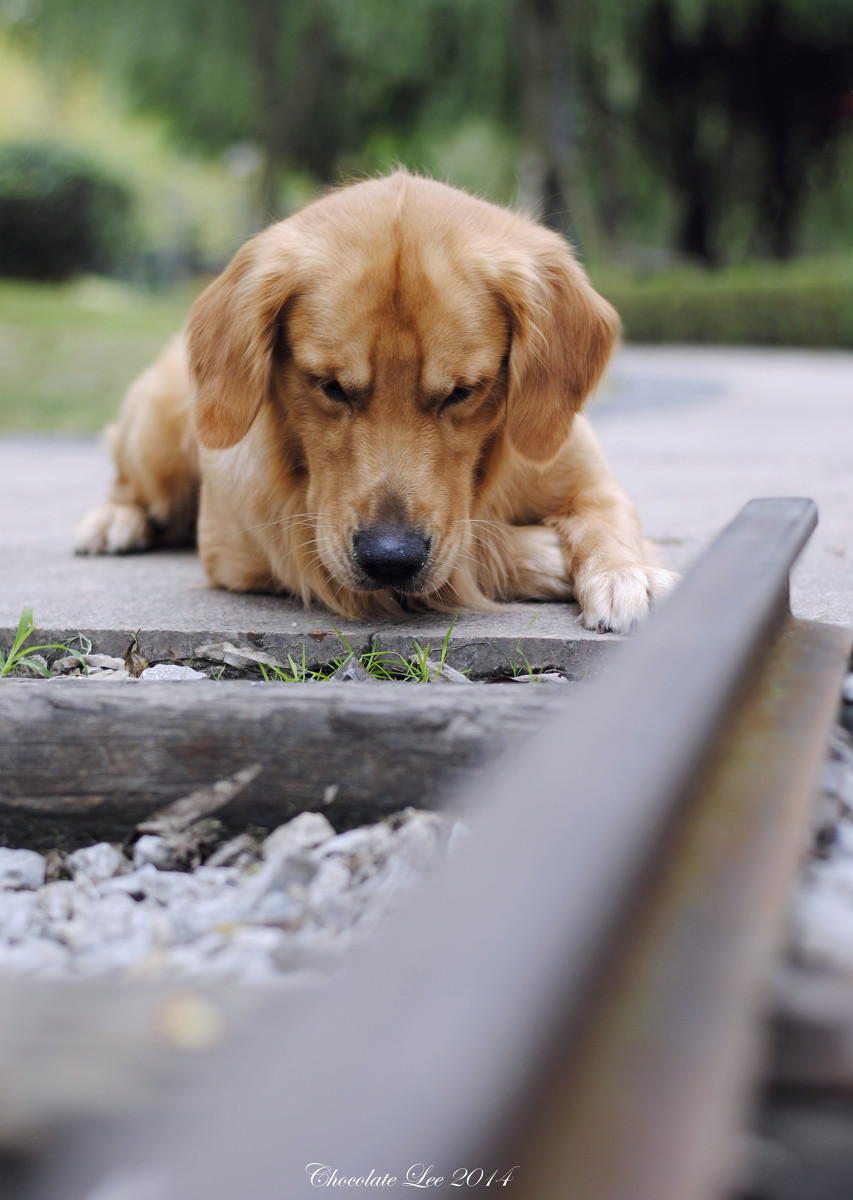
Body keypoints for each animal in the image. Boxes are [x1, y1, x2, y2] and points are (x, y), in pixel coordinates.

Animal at [74, 175, 671, 638]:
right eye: (330, 385)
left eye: (462, 390)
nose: (391, 557)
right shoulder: (270, 541)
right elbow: (478, 551)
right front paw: (555, 553)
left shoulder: (588, 478)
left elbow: (609, 517)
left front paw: (626, 573)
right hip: (156, 438)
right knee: (130, 484)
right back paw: (113, 521)